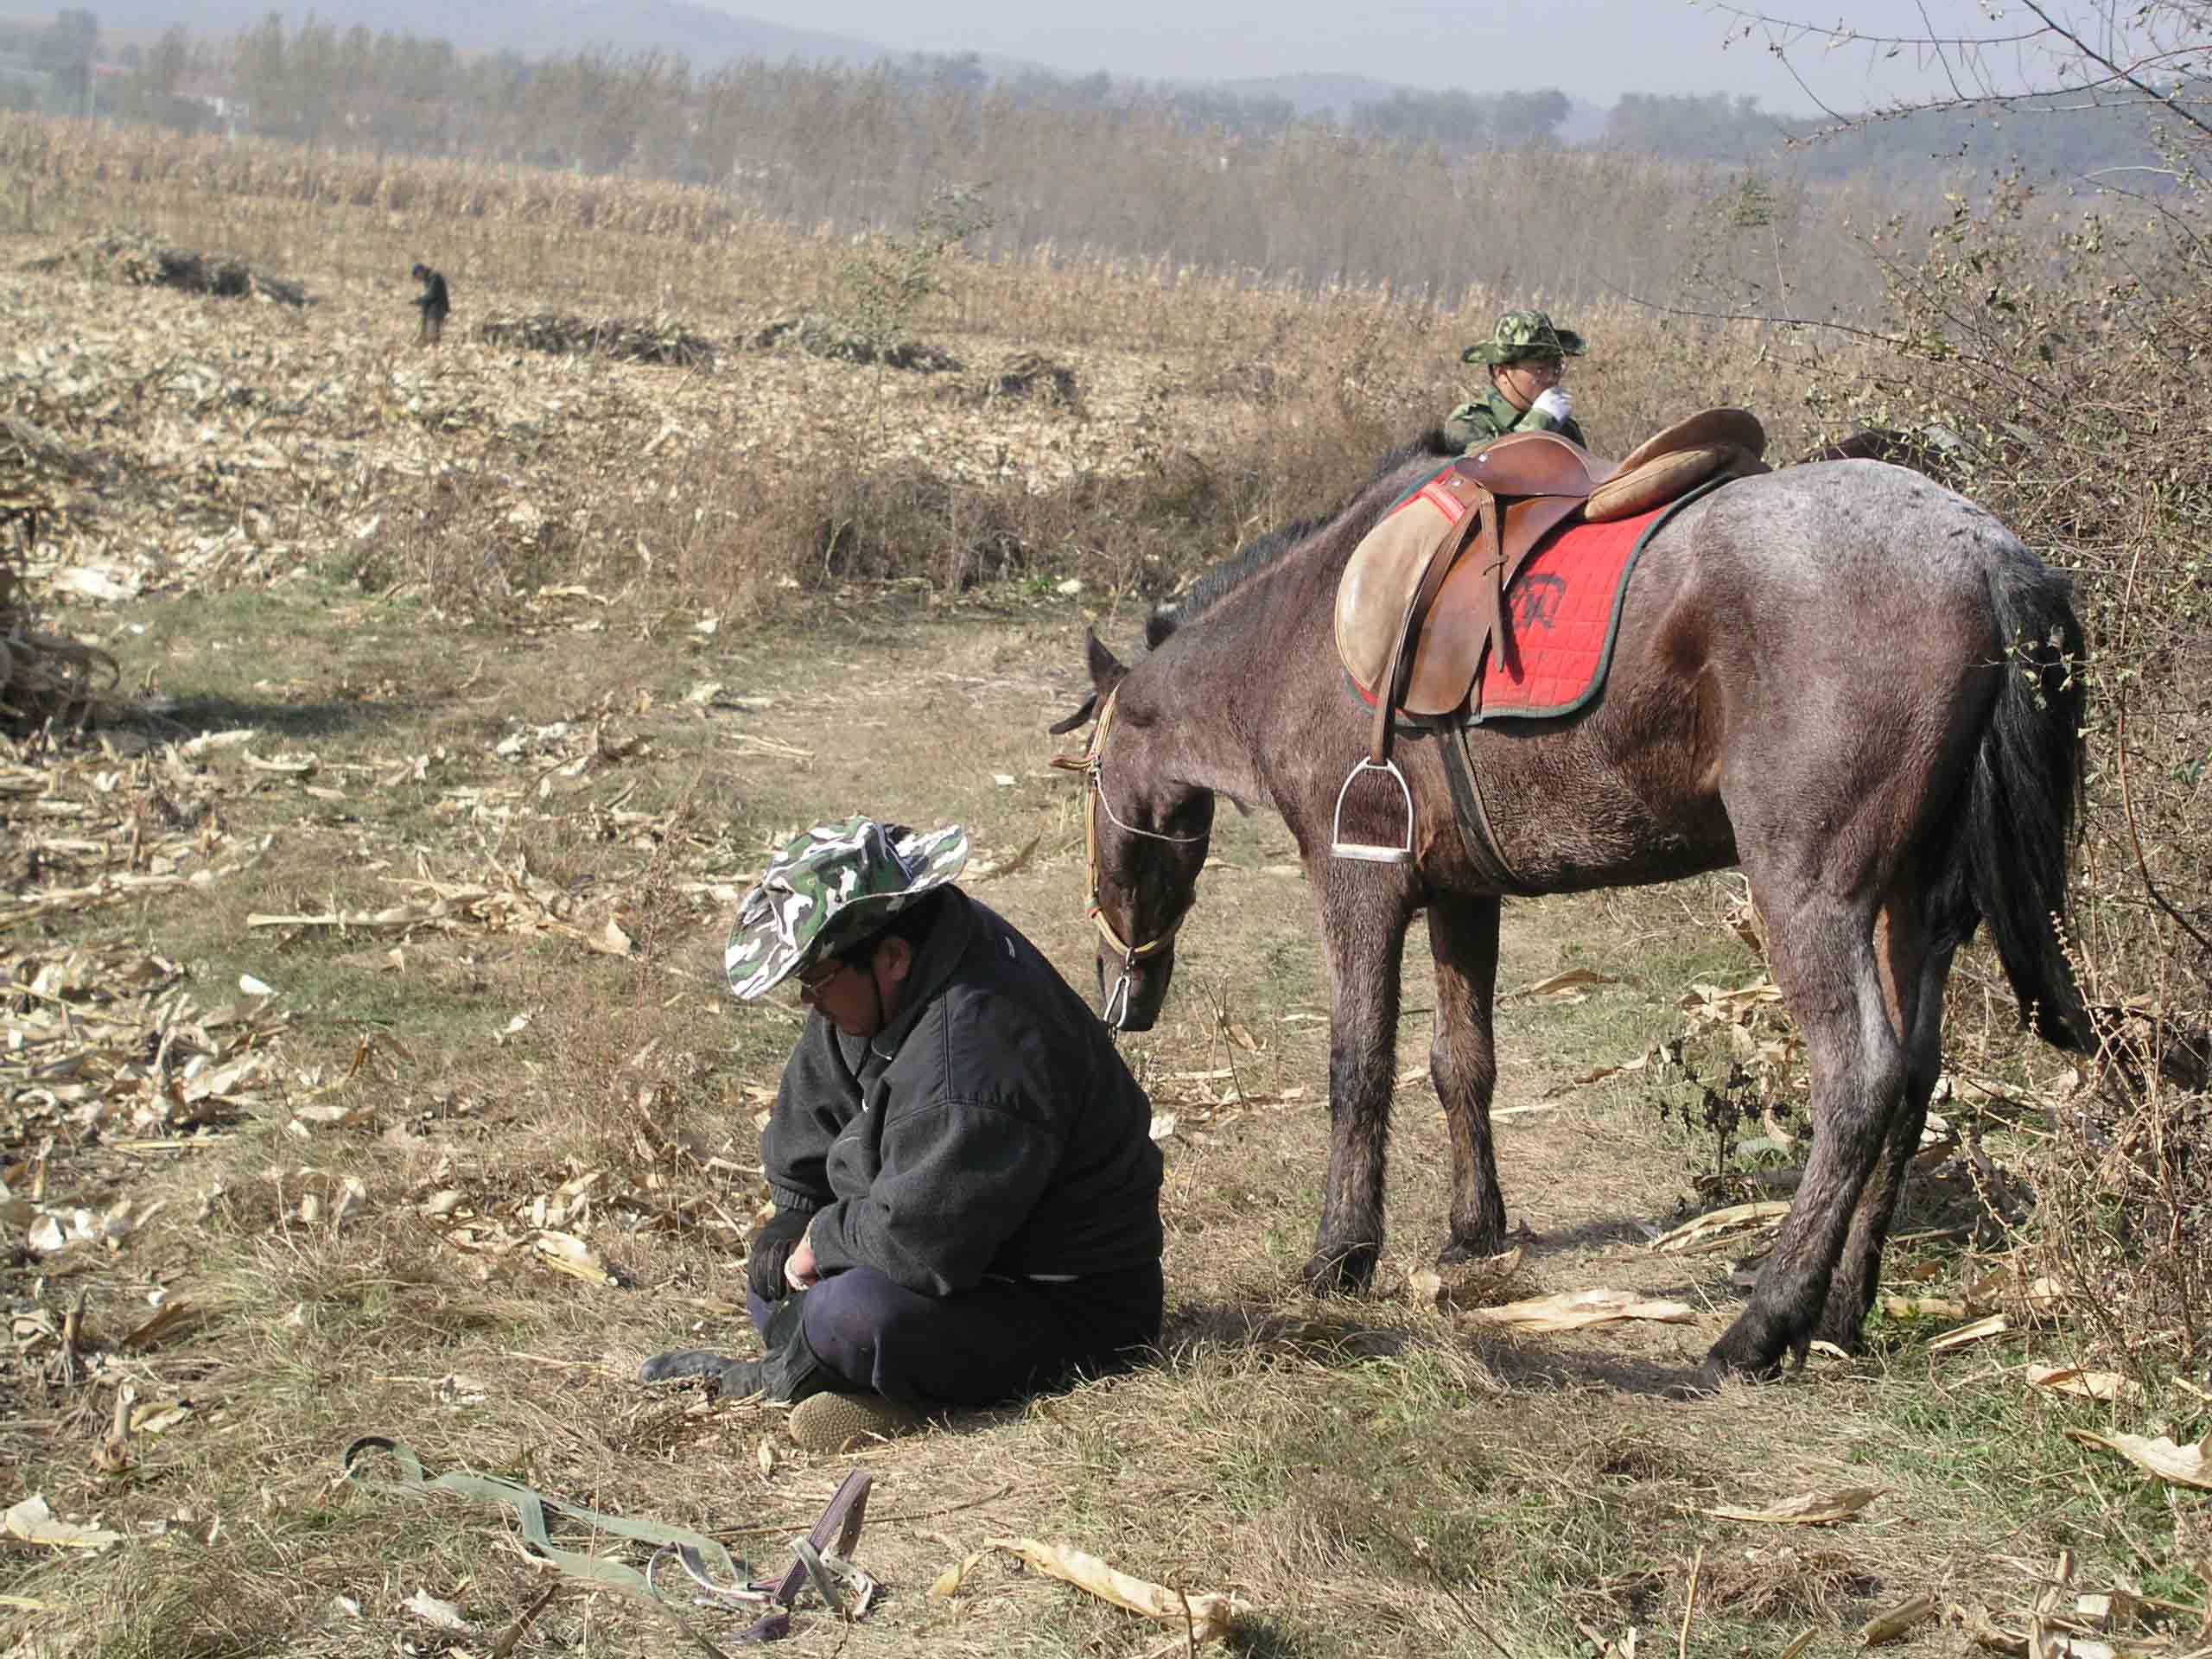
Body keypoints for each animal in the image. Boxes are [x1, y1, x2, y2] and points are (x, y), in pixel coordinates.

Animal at [1052, 435, 2088, 1380]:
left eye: (1089, 782)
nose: (1119, 993)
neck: (1305, 626)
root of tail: (1983, 550)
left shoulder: (1358, 884)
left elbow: (1359, 1068)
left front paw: (1340, 1255)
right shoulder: (1462, 897)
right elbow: (1460, 1064)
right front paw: (1474, 1228)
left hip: (1811, 898)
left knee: (1859, 1078)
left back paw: (1762, 1324)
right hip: (1912, 909)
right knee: (1912, 1078)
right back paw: (1836, 1312)